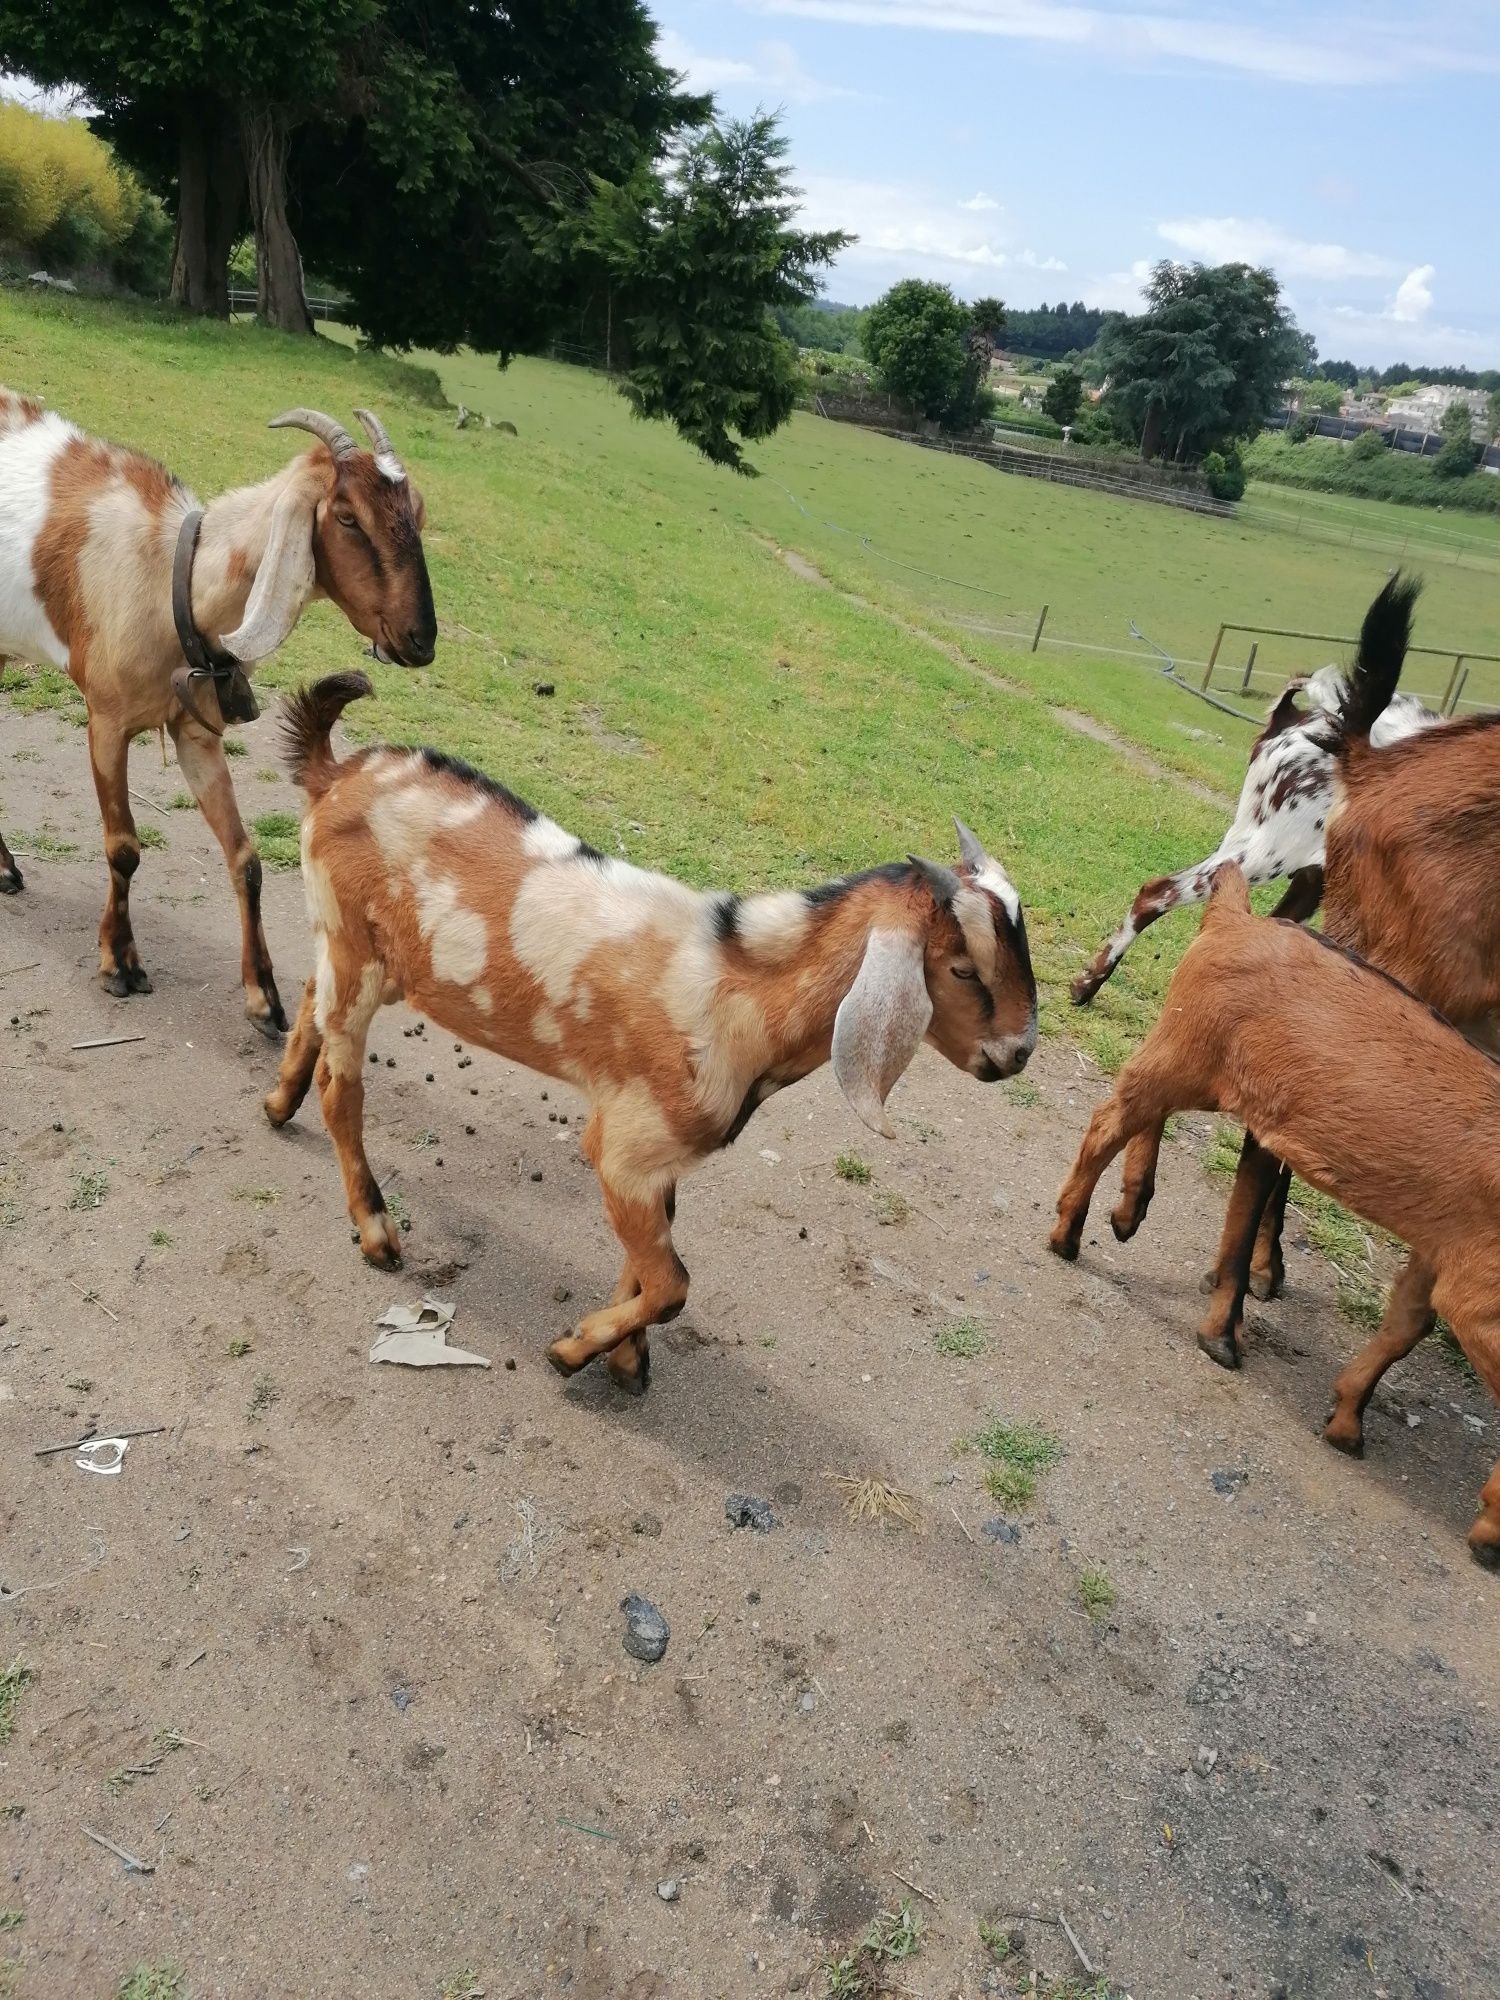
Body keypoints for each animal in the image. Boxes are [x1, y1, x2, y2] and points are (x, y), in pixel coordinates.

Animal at [0, 386, 434, 1032]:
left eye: (417, 513)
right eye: (348, 516)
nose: (421, 639)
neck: (169, 578)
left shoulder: (195, 732)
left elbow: (246, 858)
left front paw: (265, 999)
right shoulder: (105, 720)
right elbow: (123, 846)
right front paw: (119, 963)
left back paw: (4, 868)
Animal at [264, 672, 1040, 1392]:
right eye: (963, 968)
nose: (1018, 1052)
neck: (744, 989)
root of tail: (335, 773)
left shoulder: (655, 1159)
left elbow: (650, 1260)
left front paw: (624, 1357)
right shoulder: (627, 1148)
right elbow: (672, 1285)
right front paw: (574, 1349)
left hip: (366, 953)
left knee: (310, 1000)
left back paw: (277, 1106)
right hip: (356, 951)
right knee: (342, 1089)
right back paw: (376, 1232)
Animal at [1048, 868, 1500, 1568]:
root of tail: (1236, 915)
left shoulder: (1444, 1245)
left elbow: (1407, 1322)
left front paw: (1346, 1420)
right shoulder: (1483, 1294)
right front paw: (1491, 1532)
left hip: (1195, 1056)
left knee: (1141, 1110)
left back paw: (1129, 1209)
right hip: (1189, 1048)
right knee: (1108, 1120)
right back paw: (1070, 1231)